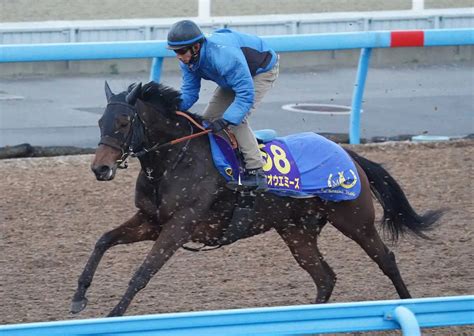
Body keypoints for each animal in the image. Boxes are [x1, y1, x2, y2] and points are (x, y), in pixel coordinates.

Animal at [70, 80, 444, 316]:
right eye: (100, 121)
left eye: (123, 122)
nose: (100, 168)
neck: (174, 161)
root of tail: (349, 155)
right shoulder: (150, 221)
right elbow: (103, 241)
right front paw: (79, 296)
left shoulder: (179, 225)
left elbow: (143, 271)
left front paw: (114, 315)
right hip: (296, 231)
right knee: (324, 276)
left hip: (355, 220)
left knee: (386, 259)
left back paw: (410, 303)